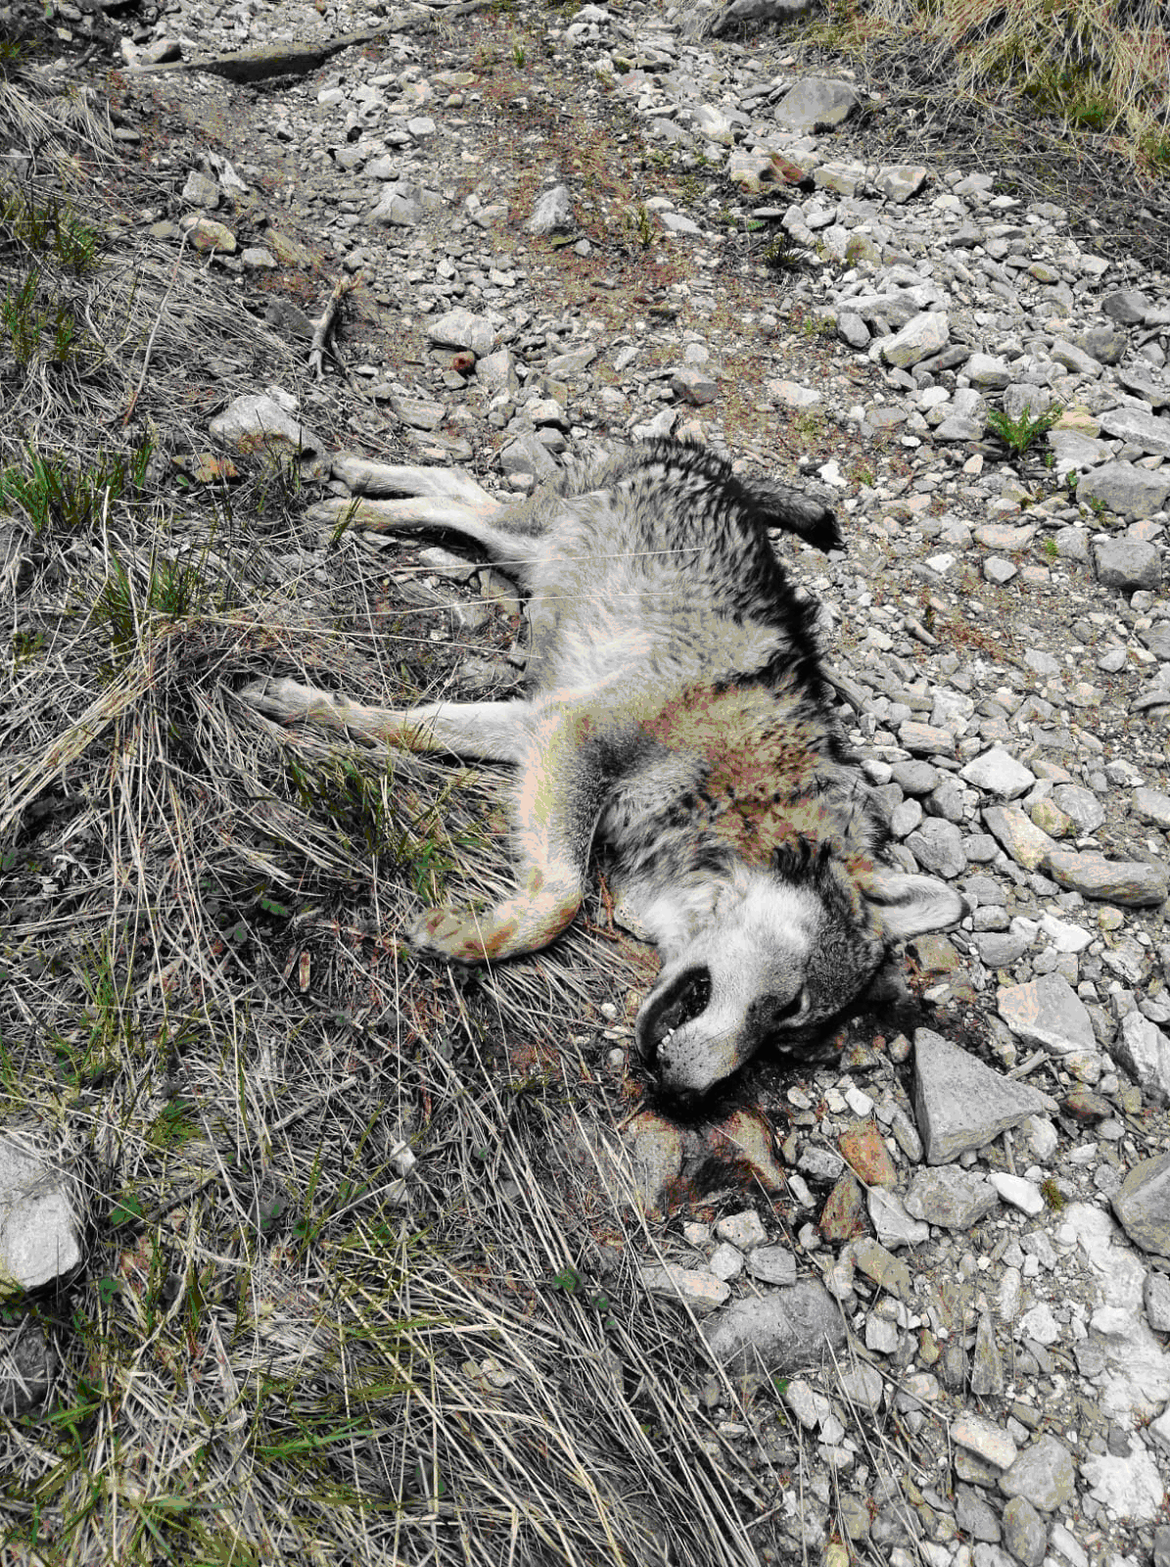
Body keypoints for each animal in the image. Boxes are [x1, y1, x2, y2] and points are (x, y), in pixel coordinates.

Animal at [244, 439, 966, 1103]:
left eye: (784, 1044)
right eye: (790, 1008)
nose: (690, 1098)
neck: (742, 784)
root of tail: (720, 468)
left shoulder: (539, 724)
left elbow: (417, 723)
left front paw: (309, 708)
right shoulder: (577, 734)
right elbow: (563, 896)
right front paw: (477, 937)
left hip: (524, 552)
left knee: (457, 488)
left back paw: (356, 479)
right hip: (527, 537)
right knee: (455, 499)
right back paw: (349, 504)